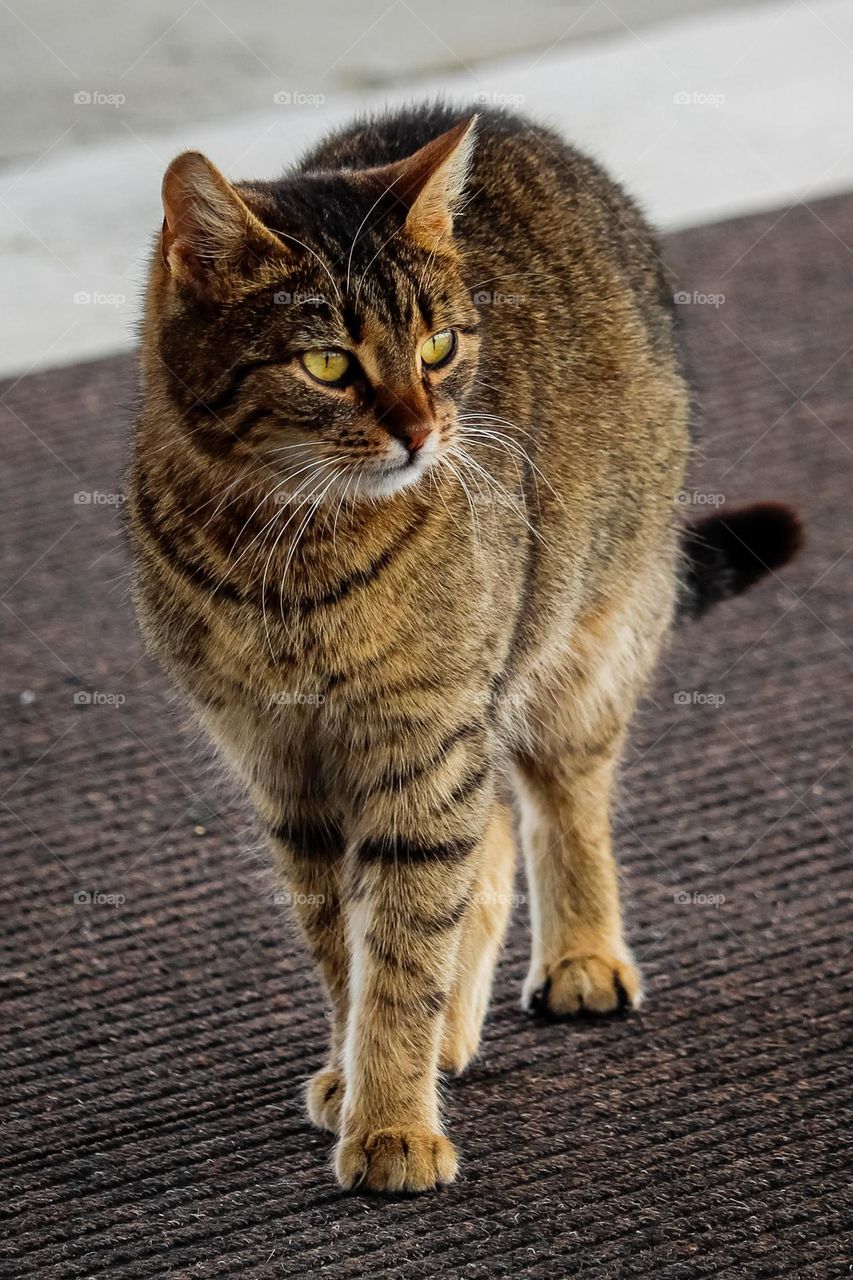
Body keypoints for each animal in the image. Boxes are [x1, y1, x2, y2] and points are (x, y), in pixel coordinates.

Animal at [124, 104, 799, 1192]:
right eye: (328, 364)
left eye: (438, 345)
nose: (421, 430)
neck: (293, 555)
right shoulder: (287, 766)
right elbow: (350, 949)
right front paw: (363, 1073)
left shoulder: (426, 736)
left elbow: (402, 945)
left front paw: (392, 1120)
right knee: (484, 847)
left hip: (578, 651)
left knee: (558, 809)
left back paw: (580, 958)